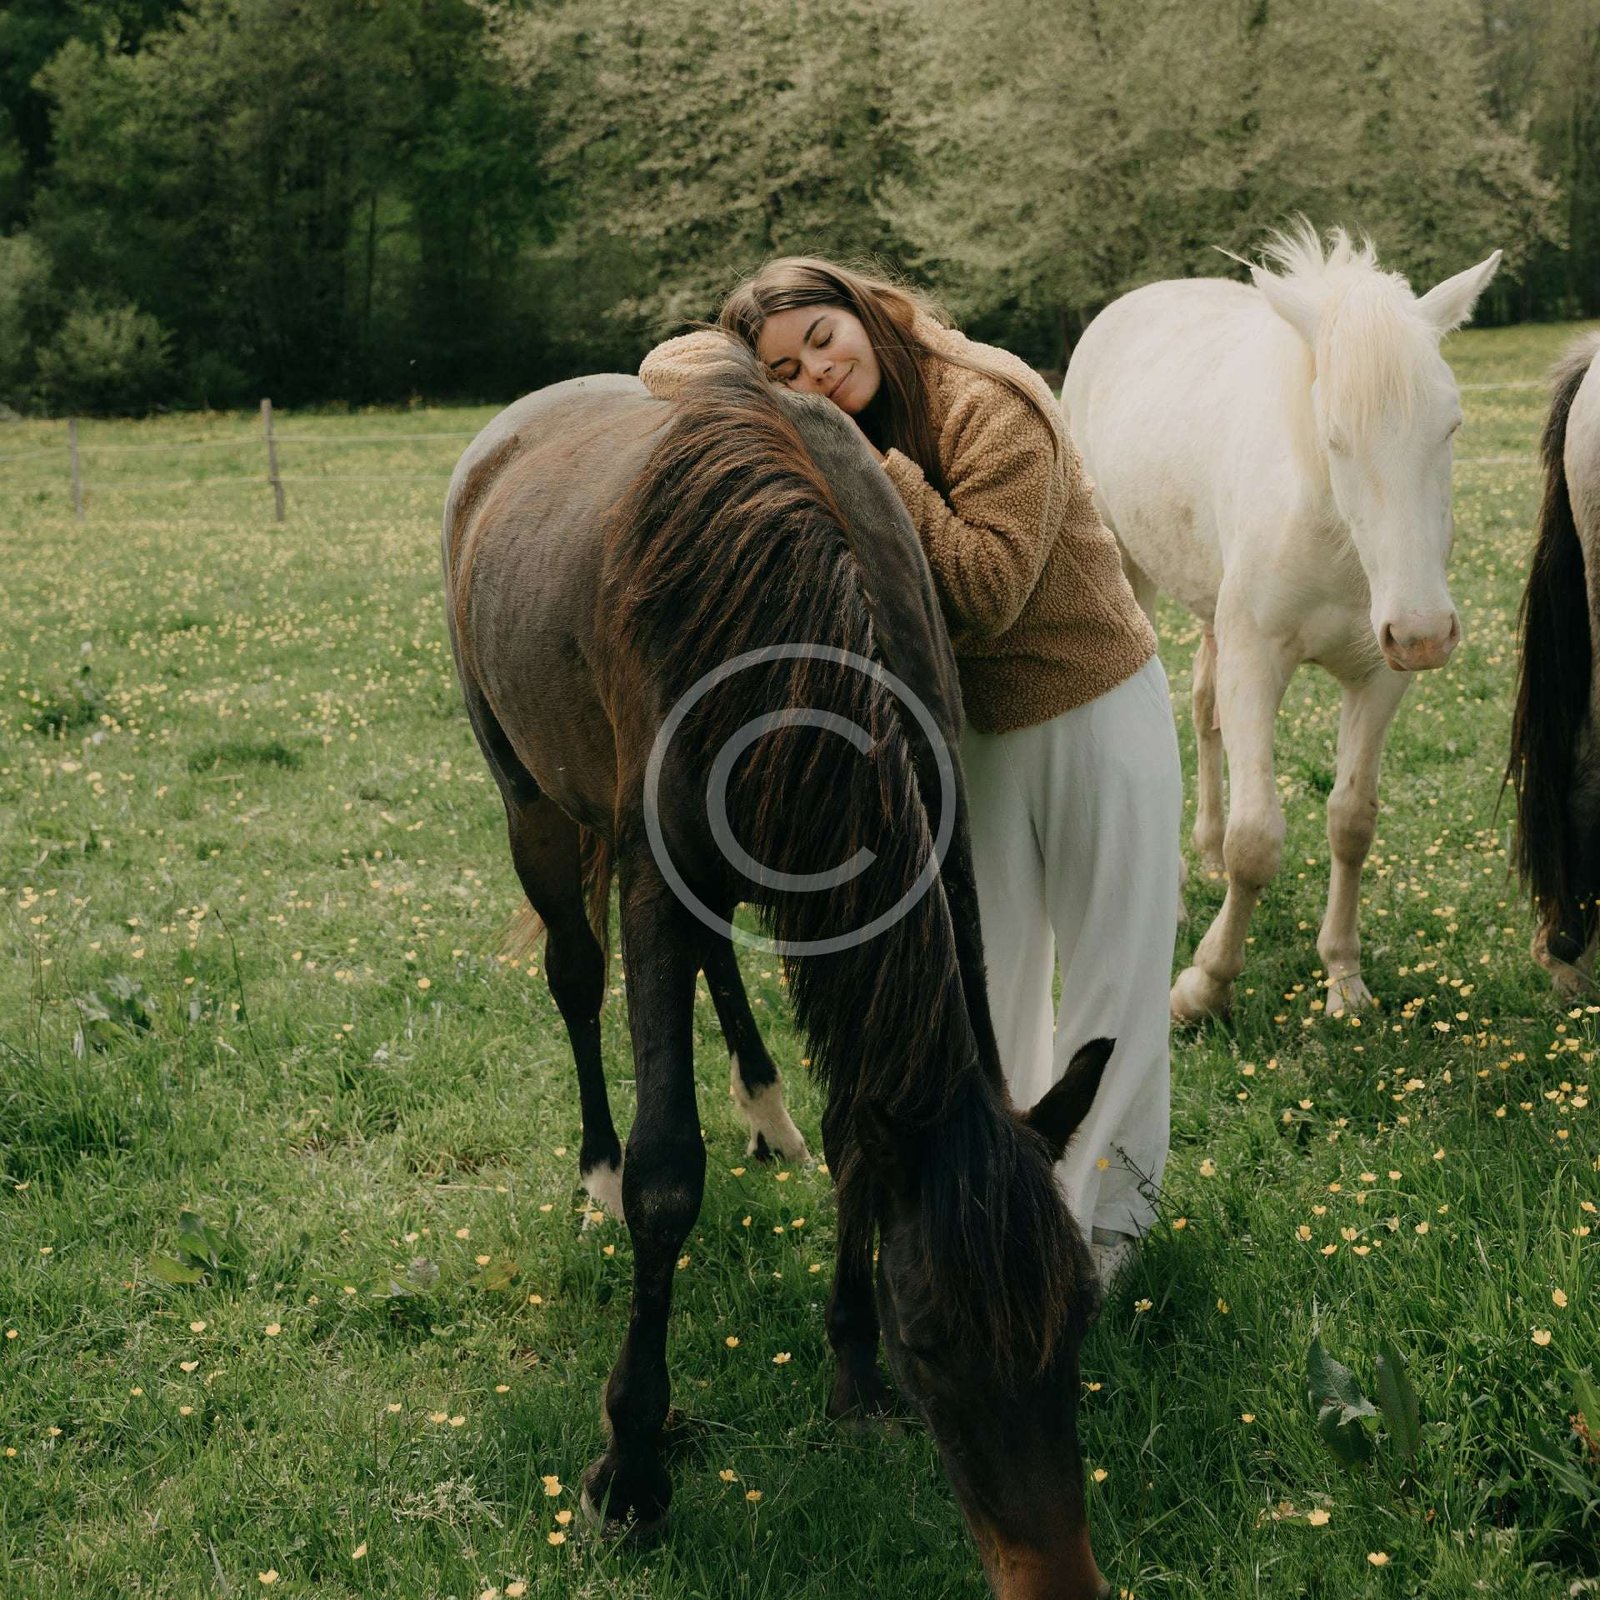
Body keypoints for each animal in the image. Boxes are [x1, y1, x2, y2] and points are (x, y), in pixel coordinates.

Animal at [441, 345, 1117, 1600]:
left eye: (1080, 1311)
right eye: (932, 1339)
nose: (1055, 1582)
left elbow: (860, 1128)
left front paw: (848, 1373)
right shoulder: (654, 876)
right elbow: (667, 1177)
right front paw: (632, 1467)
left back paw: (764, 1109)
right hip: (533, 807)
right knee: (575, 978)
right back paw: (593, 1169)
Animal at [1062, 223, 1500, 1022]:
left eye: (1451, 426)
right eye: (1334, 438)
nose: (1424, 633)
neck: (1332, 532)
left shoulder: (1378, 677)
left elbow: (1351, 822)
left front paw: (1344, 978)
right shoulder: (1257, 661)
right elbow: (1257, 840)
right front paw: (1202, 986)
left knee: (1203, 708)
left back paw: (1201, 853)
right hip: (1128, 574)